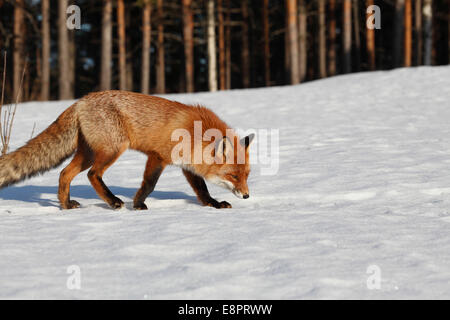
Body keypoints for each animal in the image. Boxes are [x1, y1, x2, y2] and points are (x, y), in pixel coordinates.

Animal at [0, 90, 253, 210]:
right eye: (233, 176)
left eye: (246, 175)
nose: (247, 195)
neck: (196, 134)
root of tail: (81, 101)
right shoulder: (158, 156)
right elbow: (149, 184)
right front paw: (138, 204)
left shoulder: (187, 165)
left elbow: (202, 190)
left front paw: (213, 205)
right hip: (112, 150)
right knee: (93, 175)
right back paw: (113, 201)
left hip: (88, 153)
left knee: (64, 173)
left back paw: (66, 205)